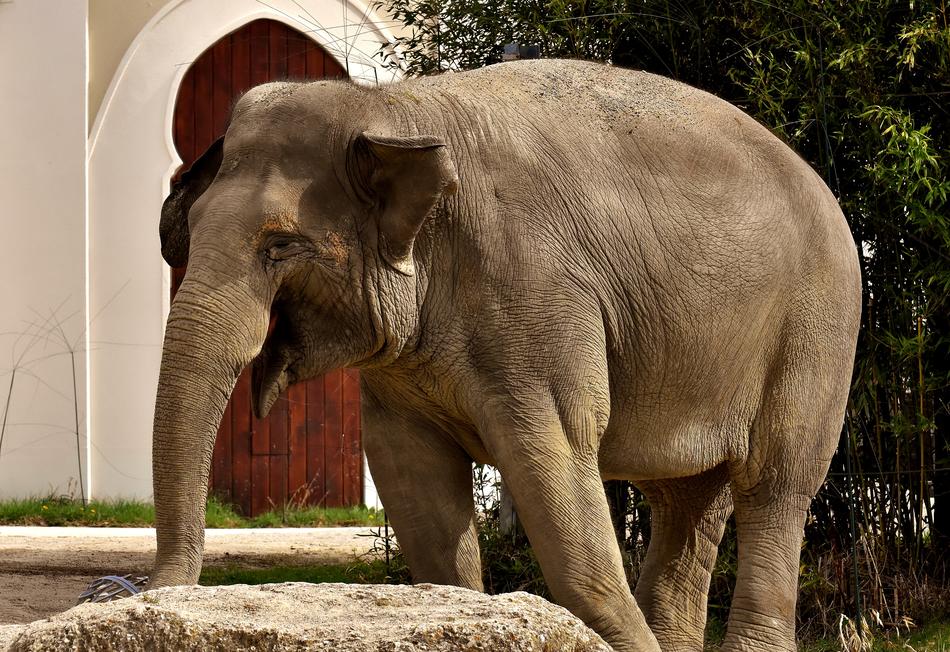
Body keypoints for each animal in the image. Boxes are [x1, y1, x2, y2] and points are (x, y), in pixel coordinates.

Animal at [152, 59, 861, 652]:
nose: (156, 594)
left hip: (816, 335)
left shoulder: (535, 299)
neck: (394, 107)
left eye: (279, 247)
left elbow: (554, 460)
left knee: (775, 485)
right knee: (687, 499)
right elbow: (414, 482)